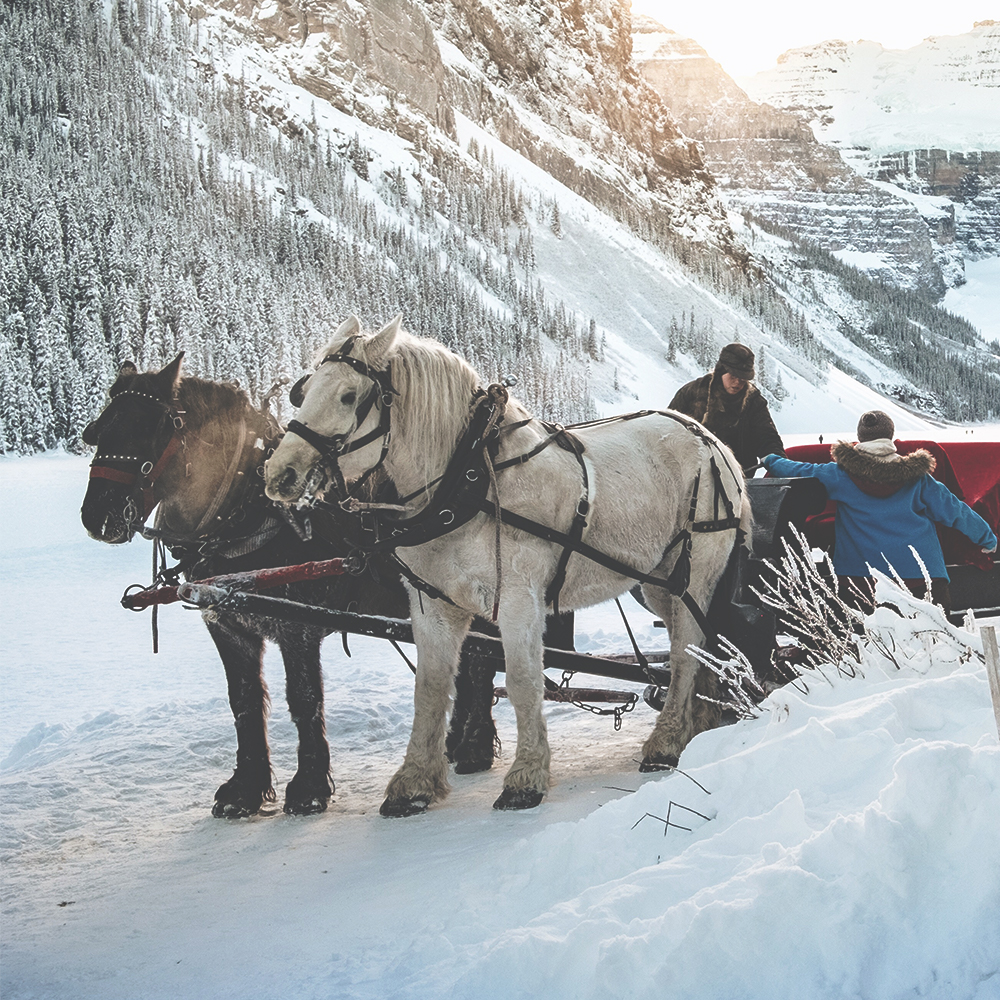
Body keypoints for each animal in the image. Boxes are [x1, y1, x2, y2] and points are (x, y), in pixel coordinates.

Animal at [83, 356, 500, 816]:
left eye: (151, 426)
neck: (247, 514)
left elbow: (303, 699)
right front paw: (244, 788)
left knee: (481, 662)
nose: (97, 517)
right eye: (97, 431)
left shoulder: (296, 628)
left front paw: (308, 787)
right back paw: (456, 743)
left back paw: (475, 747)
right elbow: (244, 702)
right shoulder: (227, 626)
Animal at [266, 316, 752, 816]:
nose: (279, 475)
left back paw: (666, 742)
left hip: (697, 572)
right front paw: (414, 783)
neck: (469, 479)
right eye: (303, 392)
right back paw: (697, 721)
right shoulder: (432, 604)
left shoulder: (519, 598)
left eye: (348, 396)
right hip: (658, 582)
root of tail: (711, 441)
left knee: (685, 650)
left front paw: (526, 777)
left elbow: (522, 681)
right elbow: (431, 687)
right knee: (686, 647)